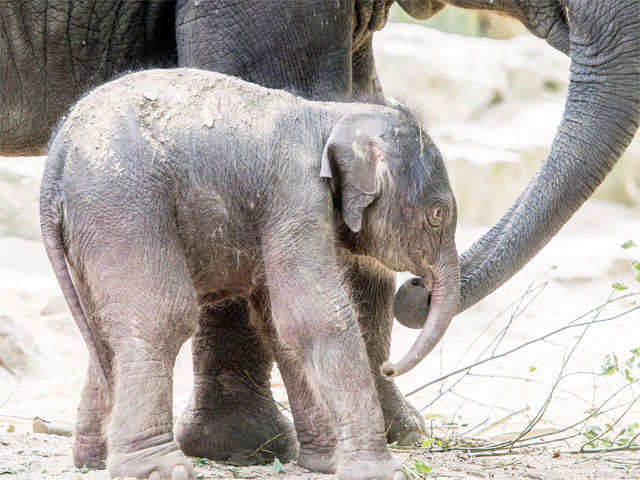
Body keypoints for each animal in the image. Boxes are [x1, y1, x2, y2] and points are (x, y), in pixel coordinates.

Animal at [40, 70, 458, 480]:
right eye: (437, 214)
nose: (388, 368)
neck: (329, 114)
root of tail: (55, 162)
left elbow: (279, 325)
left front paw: (325, 462)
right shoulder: (295, 197)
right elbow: (314, 317)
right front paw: (382, 472)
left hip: (91, 231)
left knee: (104, 330)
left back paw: (92, 461)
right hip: (125, 208)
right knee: (161, 316)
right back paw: (158, 469)